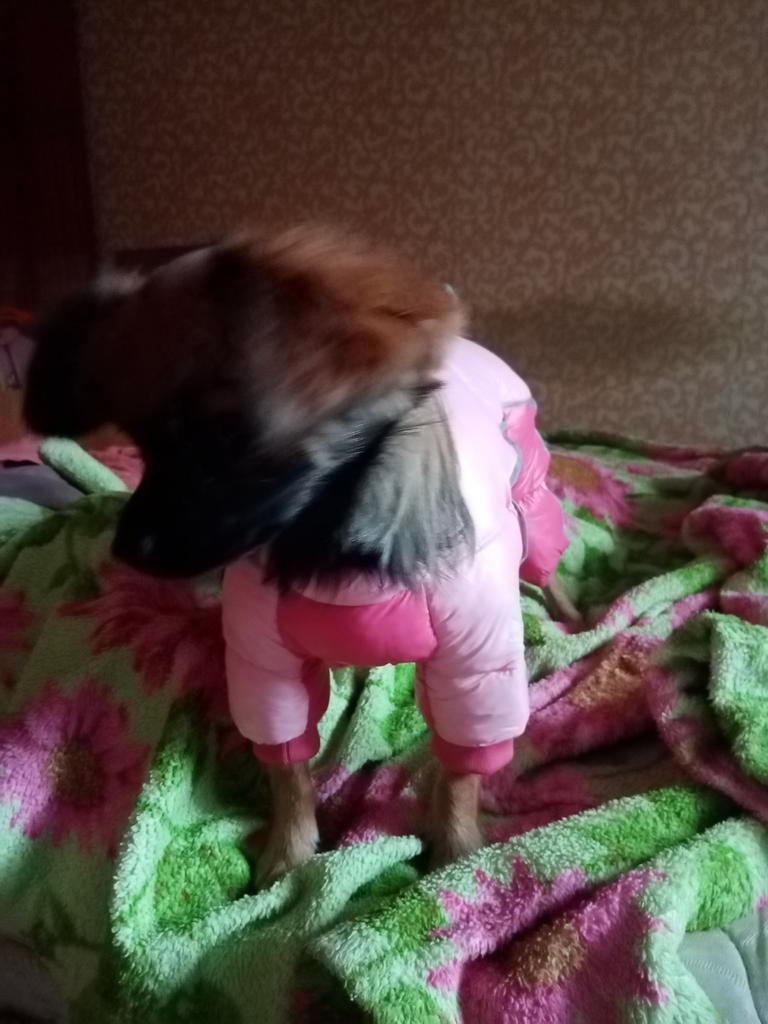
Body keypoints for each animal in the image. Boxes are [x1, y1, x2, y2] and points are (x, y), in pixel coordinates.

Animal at [24, 226, 572, 881]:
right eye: (137, 445)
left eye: (224, 437)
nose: (127, 548)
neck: (325, 535)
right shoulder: (265, 663)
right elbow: (287, 769)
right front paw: (287, 856)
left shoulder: (475, 665)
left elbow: (461, 771)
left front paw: (457, 850)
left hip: (530, 499)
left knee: (548, 561)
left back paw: (570, 616)